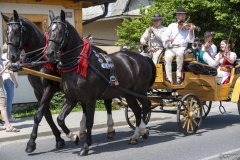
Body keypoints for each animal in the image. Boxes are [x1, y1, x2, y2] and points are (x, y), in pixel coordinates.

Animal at [0, 10, 115, 153]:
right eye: (6, 31)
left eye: (16, 30)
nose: (12, 56)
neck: (40, 60)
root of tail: (102, 51)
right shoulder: (38, 91)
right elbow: (46, 114)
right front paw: (59, 138)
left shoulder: (50, 88)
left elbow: (39, 114)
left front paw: (31, 142)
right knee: (85, 106)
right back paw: (83, 131)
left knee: (108, 103)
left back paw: (110, 129)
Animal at [46, 10, 157, 156]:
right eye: (48, 31)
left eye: (60, 31)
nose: (50, 53)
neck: (78, 65)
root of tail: (143, 57)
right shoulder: (71, 98)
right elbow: (60, 119)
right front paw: (74, 137)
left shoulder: (90, 99)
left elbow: (89, 122)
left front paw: (86, 146)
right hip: (128, 94)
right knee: (137, 110)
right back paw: (135, 136)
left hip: (140, 91)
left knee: (146, 106)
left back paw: (143, 130)